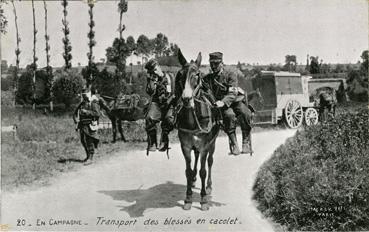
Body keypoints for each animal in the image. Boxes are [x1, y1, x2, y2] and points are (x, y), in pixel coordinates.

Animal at [175, 49, 218, 211]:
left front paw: (203, 199)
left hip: (212, 143)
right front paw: (188, 198)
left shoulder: (205, 145)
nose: (186, 99)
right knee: (196, 158)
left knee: (210, 162)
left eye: (197, 74)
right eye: (180, 74)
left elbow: (203, 171)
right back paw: (193, 180)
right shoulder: (185, 146)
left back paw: (209, 186)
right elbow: (187, 171)